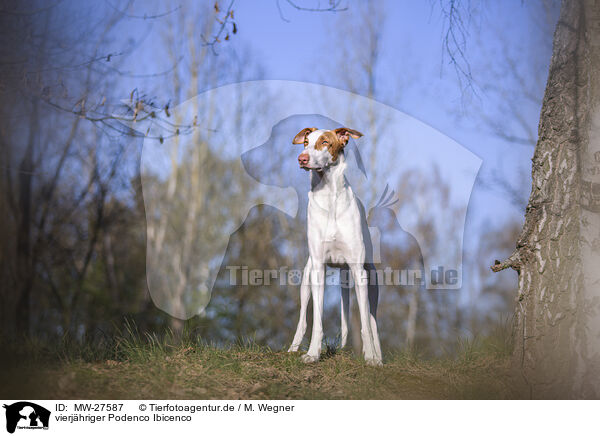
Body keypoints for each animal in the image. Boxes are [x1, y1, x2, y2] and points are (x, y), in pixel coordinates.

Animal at [288, 127, 382, 366]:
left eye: (324, 142)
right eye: (305, 142)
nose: (301, 158)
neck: (329, 196)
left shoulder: (359, 272)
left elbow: (366, 325)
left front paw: (371, 357)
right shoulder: (318, 269)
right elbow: (317, 322)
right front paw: (313, 354)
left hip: (371, 279)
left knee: (372, 321)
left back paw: (377, 355)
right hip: (306, 277)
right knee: (303, 319)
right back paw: (292, 349)